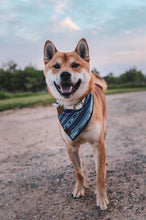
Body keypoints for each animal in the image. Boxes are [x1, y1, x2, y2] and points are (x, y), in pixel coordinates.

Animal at [42, 38, 109, 211]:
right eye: (56, 66)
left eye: (75, 65)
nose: (65, 74)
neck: (74, 108)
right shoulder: (71, 147)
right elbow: (79, 172)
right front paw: (79, 189)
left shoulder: (98, 144)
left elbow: (100, 176)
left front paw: (101, 198)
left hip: (104, 131)